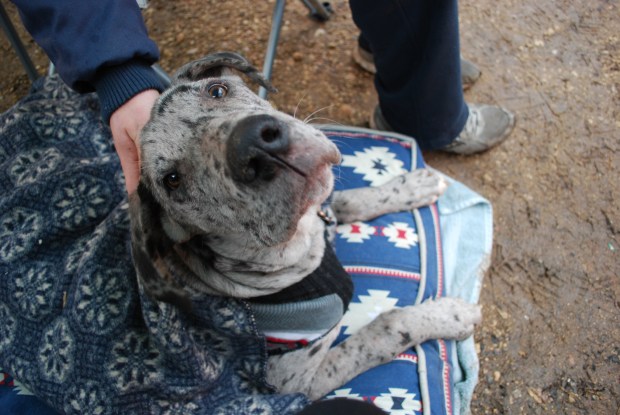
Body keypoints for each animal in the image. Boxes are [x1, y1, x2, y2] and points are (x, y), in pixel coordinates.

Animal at [129, 52, 481, 401]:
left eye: (217, 90)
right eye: (173, 180)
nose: (256, 146)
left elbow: (352, 200)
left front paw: (411, 186)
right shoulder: (297, 384)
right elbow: (385, 329)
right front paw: (448, 315)